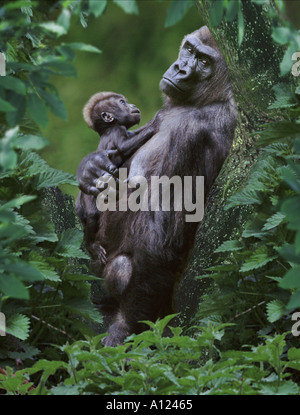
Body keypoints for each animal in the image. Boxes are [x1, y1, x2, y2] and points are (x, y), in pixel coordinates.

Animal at [76, 91, 144, 266]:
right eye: (122, 102)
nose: (133, 106)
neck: (109, 127)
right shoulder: (117, 130)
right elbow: (124, 147)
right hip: (88, 195)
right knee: (92, 216)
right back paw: (91, 245)